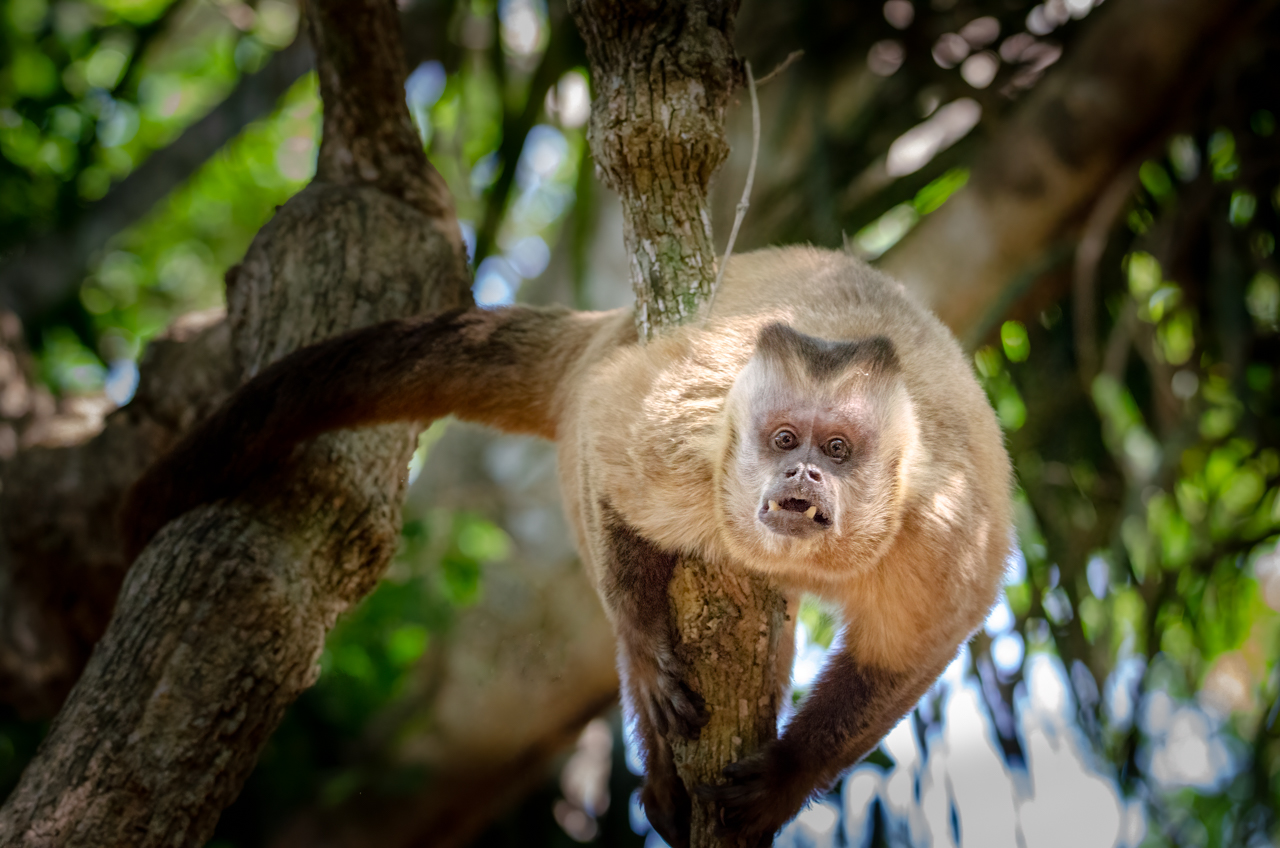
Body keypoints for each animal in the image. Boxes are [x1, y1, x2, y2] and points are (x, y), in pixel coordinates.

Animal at [122, 245, 1012, 847]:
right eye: (785, 438)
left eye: (838, 449)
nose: (801, 473)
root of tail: (608, 323)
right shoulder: (692, 436)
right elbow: (610, 438)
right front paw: (649, 656)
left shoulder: (943, 523)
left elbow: (920, 645)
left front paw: (790, 776)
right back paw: (660, 762)